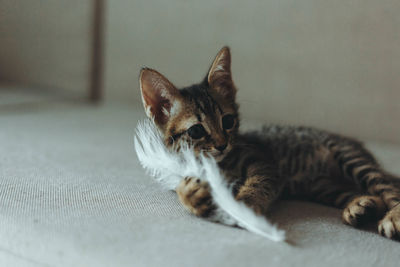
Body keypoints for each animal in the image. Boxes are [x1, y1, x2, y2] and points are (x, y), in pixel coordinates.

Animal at [138, 46, 400, 241]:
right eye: (196, 130)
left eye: (228, 121)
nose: (222, 144)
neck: (221, 164)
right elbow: (182, 188)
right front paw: (192, 194)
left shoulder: (264, 163)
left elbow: (258, 183)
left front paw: (243, 207)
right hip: (323, 187)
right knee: (371, 196)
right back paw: (360, 206)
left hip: (350, 157)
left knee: (389, 188)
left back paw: (393, 218)